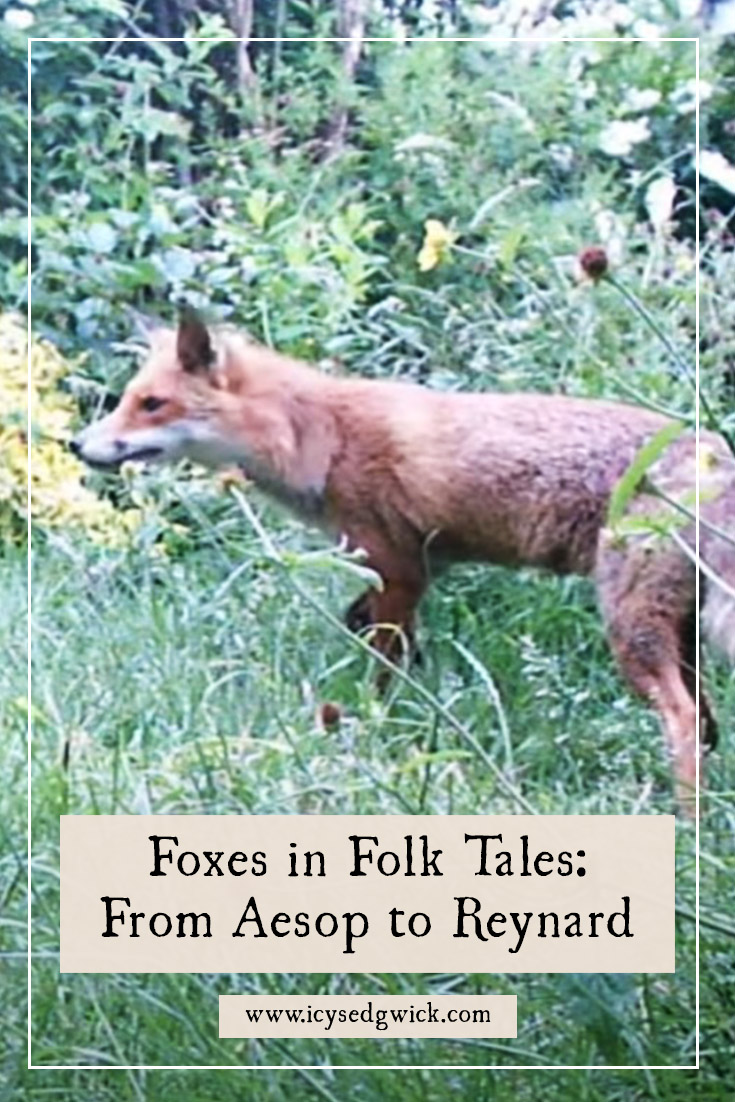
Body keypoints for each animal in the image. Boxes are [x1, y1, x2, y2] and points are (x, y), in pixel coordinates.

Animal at [71, 314, 735, 814]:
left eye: (152, 404)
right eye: (128, 400)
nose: (78, 445)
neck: (316, 434)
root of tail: (712, 453)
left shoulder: (398, 568)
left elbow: (381, 669)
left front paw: (372, 724)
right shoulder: (412, 568)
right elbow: (363, 624)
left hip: (630, 627)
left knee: (682, 719)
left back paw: (685, 821)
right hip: (674, 631)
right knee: (706, 719)